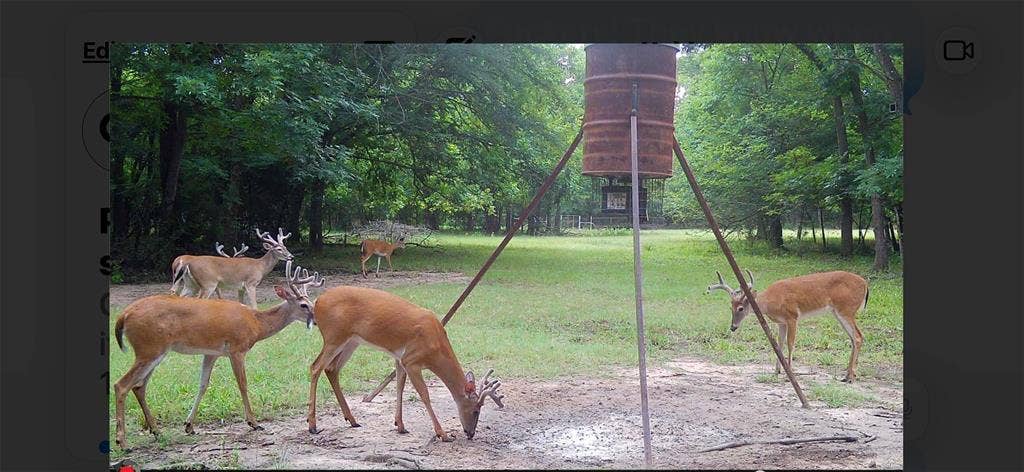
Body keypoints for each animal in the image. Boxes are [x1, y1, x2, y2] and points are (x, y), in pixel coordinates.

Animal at [113, 261, 325, 450]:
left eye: (312, 302)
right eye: (304, 305)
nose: (316, 320)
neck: (257, 324)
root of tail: (124, 315)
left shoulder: (211, 353)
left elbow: (203, 385)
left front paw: (189, 425)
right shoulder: (237, 349)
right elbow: (243, 384)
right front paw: (254, 422)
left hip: (155, 351)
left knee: (139, 386)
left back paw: (156, 431)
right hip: (149, 348)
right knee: (122, 385)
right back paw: (123, 442)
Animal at [306, 285, 504, 442]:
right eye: (476, 410)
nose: (471, 433)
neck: (436, 346)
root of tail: (318, 301)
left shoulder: (399, 359)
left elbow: (399, 386)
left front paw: (400, 425)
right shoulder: (411, 360)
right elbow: (424, 394)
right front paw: (442, 434)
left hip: (351, 341)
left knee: (331, 369)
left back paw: (352, 420)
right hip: (334, 336)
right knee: (316, 366)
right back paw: (312, 425)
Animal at [706, 270, 869, 382]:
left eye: (740, 308)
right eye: (730, 307)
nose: (733, 327)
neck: (771, 301)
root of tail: (866, 284)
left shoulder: (792, 317)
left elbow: (791, 344)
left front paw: (789, 373)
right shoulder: (781, 322)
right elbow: (779, 344)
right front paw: (776, 371)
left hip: (846, 309)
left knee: (858, 336)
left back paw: (850, 377)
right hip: (838, 312)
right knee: (853, 338)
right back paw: (847, 375)